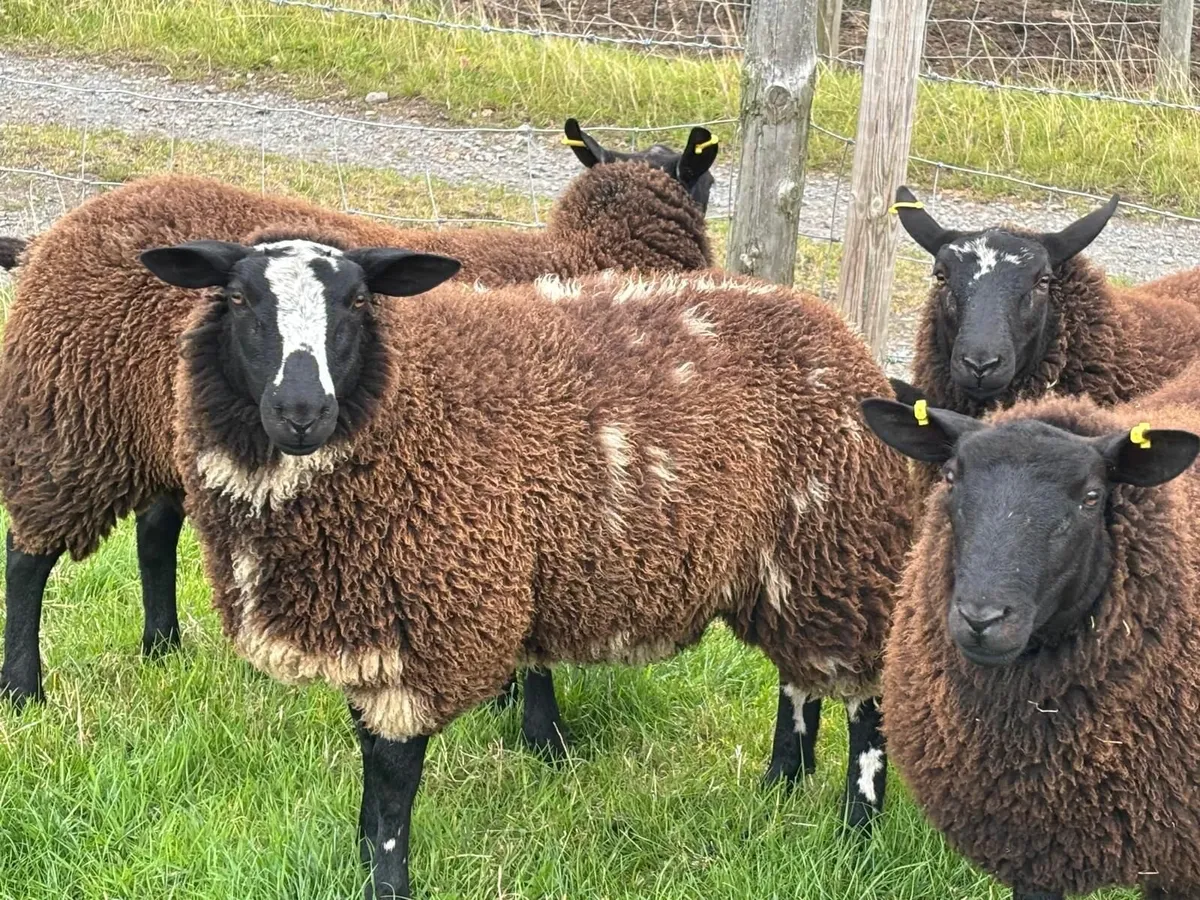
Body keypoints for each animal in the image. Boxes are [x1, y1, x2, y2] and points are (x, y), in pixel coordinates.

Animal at [0, 128, 716, 719]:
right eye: (706, 181)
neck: (583, 255)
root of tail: (57, 232)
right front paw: (542, 739)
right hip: (73, 420)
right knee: (28, 556)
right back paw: (24, 689)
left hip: (164, 431)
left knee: (153, 533)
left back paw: (162, 648)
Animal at [138, 234, 915, 898]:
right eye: (239, 299)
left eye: (357, 302)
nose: (301, 410)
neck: (407, 403)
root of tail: (832, 325)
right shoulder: (383, 618)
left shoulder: (430, 623)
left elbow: (390, 785)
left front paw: (388, 883)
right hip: (789, 567)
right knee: (799, 677)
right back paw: (781, 783)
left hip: (843, 546)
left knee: (865, 703)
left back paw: (856, 833)